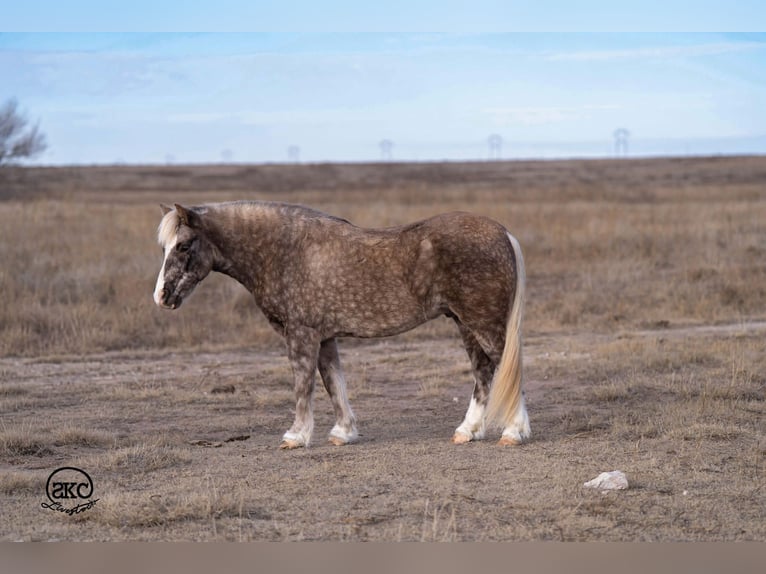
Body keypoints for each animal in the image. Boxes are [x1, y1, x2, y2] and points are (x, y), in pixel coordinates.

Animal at [153, 201, 529, 449]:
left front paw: (296, 436)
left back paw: (513, 432)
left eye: (183, 245)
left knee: (506, 369)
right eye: (165, 247)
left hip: (485, 325)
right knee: (484, 373)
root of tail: (504, 233)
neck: (284, 251)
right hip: (466, 324)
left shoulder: (301, 334)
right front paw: (343, 433)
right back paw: (467, 431)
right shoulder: (325, 338)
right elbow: (334, 382)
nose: (162, 296)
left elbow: (303, 385)